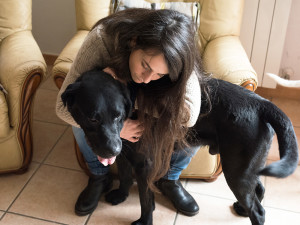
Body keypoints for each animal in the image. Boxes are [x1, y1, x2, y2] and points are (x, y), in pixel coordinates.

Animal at [61, 68, 298, 225]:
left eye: (118, 116)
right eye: (92, 118)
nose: (112, 149)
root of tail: (261, 103)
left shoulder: (144, 163)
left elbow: (145, 200)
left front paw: (144, 221)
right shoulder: (125, 155)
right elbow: (126, 177)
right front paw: (120, 195)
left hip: (236, 171)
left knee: (258, 211)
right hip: (246, 168)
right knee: (259, 189)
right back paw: (241, 209)